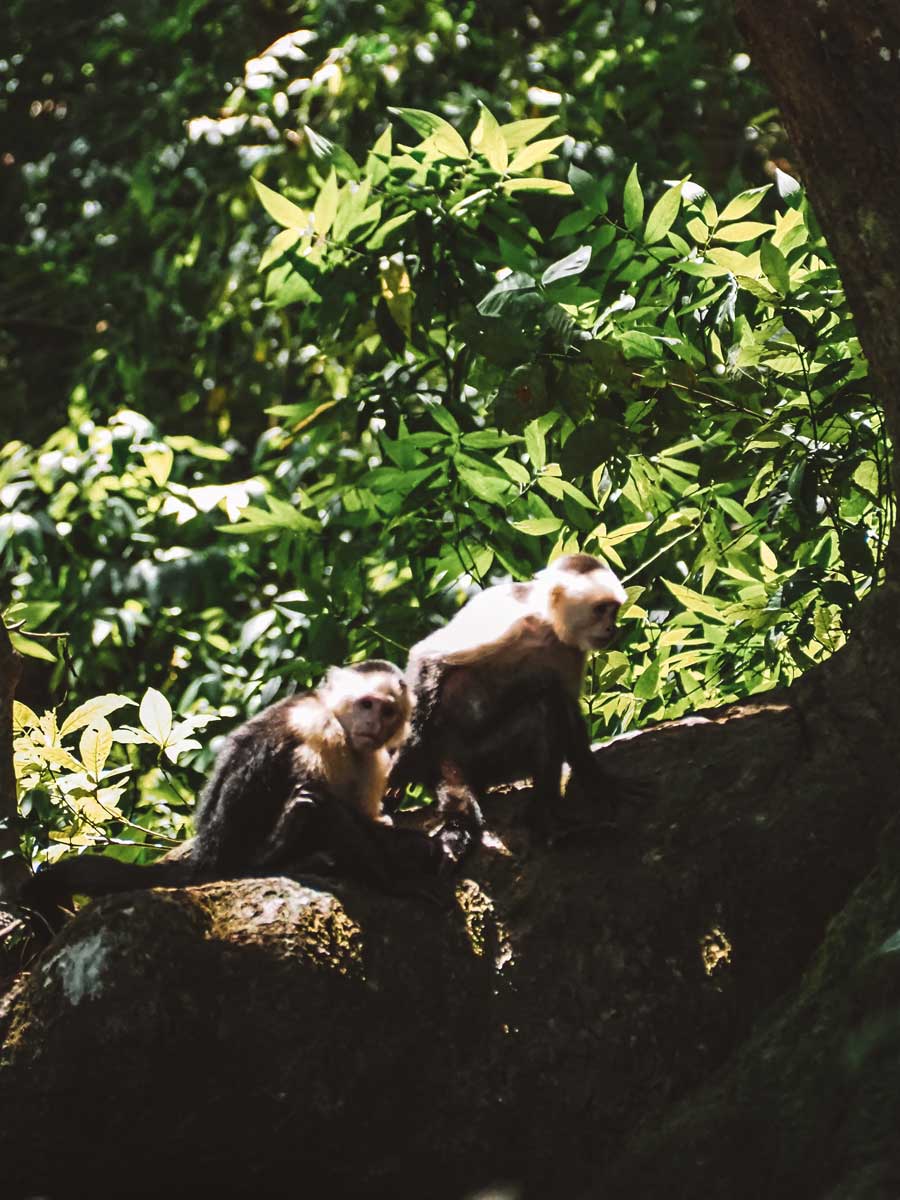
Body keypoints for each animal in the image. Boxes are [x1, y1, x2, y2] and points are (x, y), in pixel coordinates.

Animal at [21, 661, 444, 928]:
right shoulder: (321, 729)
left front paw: (415, 843)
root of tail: (205, 858)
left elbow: (372, 818)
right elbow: (332, 806)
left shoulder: (371, 755)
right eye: (366, 705)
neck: (339, 721)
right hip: (227, 859)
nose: (374, 724)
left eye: (387, 711)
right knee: (313, 806)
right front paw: (398, 880)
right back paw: (282, 854)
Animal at [388, 553, 628, 863]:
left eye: (614, 611)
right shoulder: (506, 612)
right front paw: (404, 763)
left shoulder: (571, 650)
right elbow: (428, 657)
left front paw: (598, 780)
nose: (613, 628)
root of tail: (447, 754)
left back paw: (544, 818)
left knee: (549, 706)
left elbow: (569, 708)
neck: (547, 627)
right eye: (601, 610)